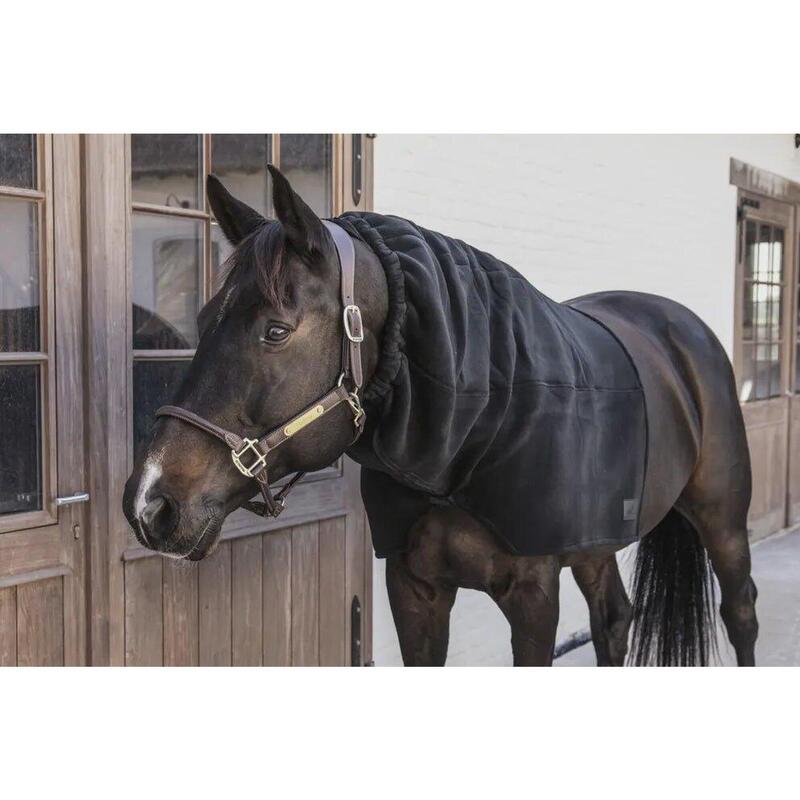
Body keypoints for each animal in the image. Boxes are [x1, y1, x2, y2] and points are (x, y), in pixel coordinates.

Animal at [123, 166, 757, 667]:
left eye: (275, 331)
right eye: (203, 319)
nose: (149, 503)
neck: (477, 430)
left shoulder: (533, 597)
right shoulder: (413, 589)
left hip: (722, 521)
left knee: (741, 613)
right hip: (596, 542)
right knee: (614, 620)